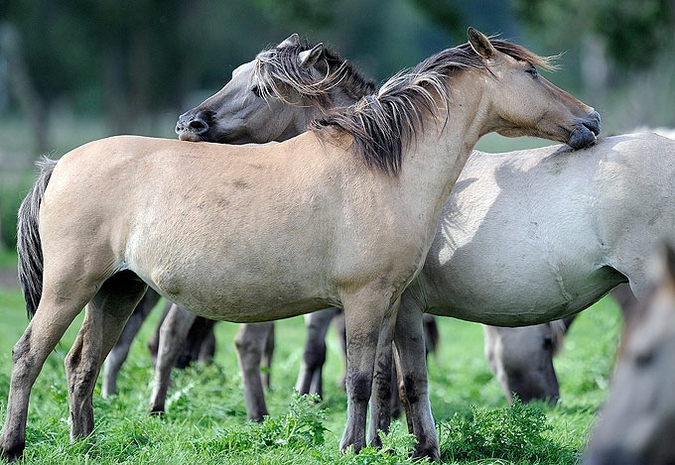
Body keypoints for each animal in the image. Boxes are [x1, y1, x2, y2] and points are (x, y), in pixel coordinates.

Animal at [0, 29, 604, 460]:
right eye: (530, 73)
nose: (591, 119)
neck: (382, 166)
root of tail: (59, 165)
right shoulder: (363, 299)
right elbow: (360, 379)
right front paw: (354, 447)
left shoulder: (397, 302)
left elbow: (400, 377)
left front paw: (403, 446)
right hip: (71, 287)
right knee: (30, 355)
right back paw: (16, 445)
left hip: (118, 289)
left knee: (82, 363)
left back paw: (86, 445)